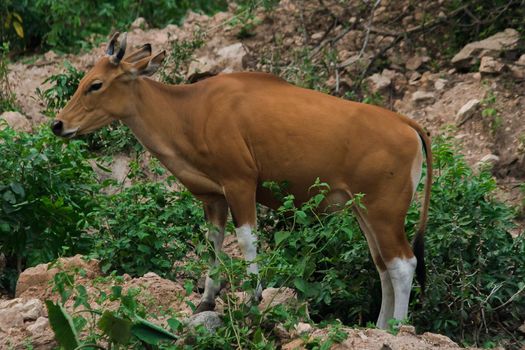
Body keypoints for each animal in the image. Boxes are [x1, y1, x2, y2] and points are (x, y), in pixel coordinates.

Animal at [51, 32, 432, 328]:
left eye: (95, 84)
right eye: (83, 81)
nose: (58, 124)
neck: (188, 111)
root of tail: (407, 124)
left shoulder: (240, 184)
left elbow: (247, 241)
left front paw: (253, 298)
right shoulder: (213, 197)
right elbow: (213, 244)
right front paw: (205, 300)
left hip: (385, 211)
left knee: (403, 263)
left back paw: (397, 327)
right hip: (363, 211)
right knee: (382, 264)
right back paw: (380, 326)